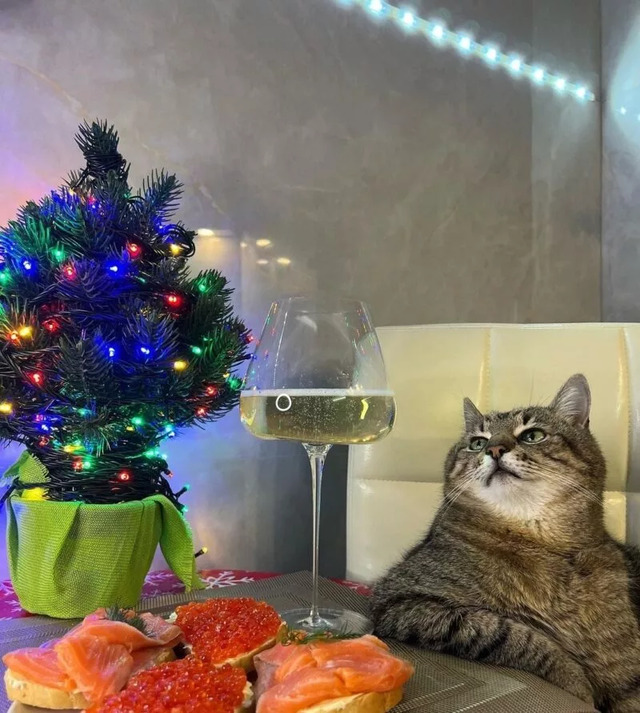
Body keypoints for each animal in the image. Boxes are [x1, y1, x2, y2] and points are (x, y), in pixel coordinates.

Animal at [371, 374, 640, 713]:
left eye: (533, 435)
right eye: (477, 442)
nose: (495, 449)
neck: (537, 538)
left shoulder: (626, 673)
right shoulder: (402, 600)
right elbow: (510, 633)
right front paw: (574, 680)